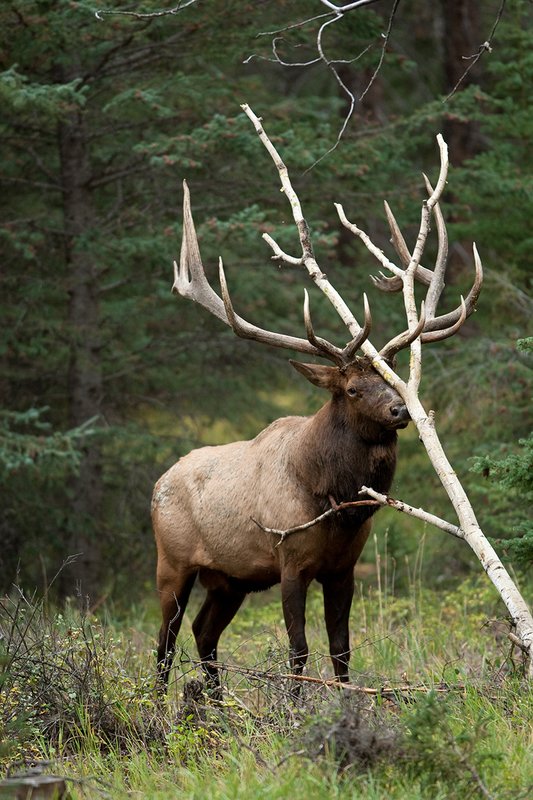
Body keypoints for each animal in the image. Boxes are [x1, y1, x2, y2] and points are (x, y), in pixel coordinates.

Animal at [152, 109, 482, 697]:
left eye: (390, 379)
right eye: (351, 389)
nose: (401, 411)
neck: (333, 498)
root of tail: (154, 486)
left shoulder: (344, 568)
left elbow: (341, 650)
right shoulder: (290, 561)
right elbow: (299, 652)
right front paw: (298, 705)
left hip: (230, 578)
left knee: (202, 632)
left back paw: (212, 706)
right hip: (173, 561)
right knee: (163, 641)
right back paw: (154, 703)